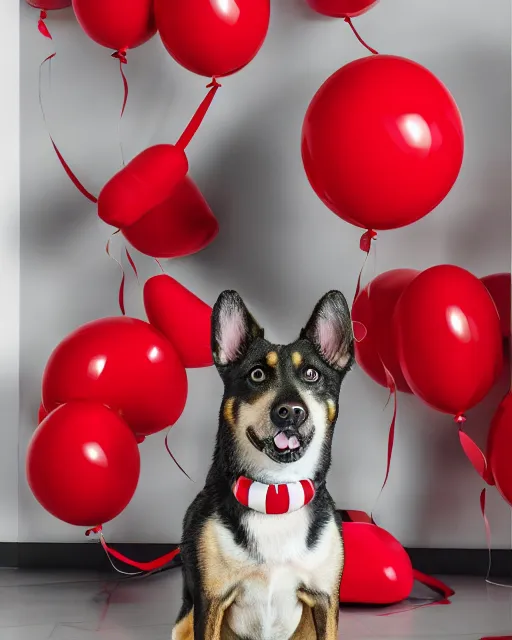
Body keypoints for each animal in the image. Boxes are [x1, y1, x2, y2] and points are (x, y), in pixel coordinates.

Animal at [172, 292, 352, 640]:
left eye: (311, 374)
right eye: (257, 375)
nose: (291, 412)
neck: (275, 492)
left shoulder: (325, 600)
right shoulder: (210, 601)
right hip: (183, 620)